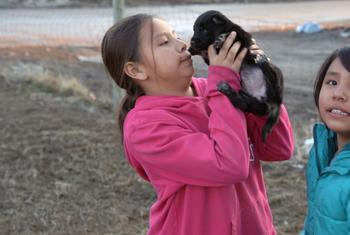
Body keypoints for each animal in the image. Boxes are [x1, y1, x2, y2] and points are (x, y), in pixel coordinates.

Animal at [189, 10, 284, 140]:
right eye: (194, 29)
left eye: (203, 29)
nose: (192, 41)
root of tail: (275, 102)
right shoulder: (209, 56)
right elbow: (204, 51)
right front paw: (191, 49)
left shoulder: (243, 37)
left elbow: (232, 34)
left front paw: (221, 39)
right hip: (255, 104)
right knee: (242, 103)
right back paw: (227, 89)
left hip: (276, 75)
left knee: (271, 73)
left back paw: (261, 59)